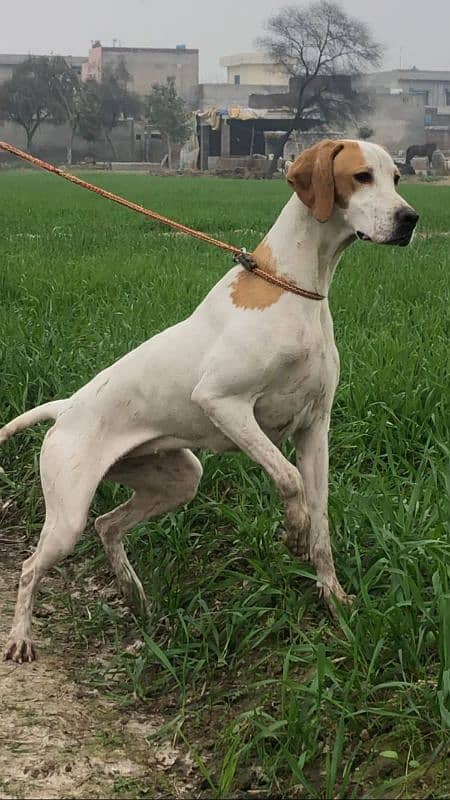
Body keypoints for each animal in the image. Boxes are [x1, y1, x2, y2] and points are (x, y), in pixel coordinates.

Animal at [2, 139, 418, 664]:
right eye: (362, 176)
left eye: (397, 178)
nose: (410, 219)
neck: (297, 289)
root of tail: (66, 408)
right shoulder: (223, 402)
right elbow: (287, 480)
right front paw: (292, 530)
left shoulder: (314, 429)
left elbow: (322, 523)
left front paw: (334, 597)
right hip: (66, 515)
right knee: (31, 566)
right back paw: (21, 636)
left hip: (180, 478)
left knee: (108, 525)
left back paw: (135, 594)